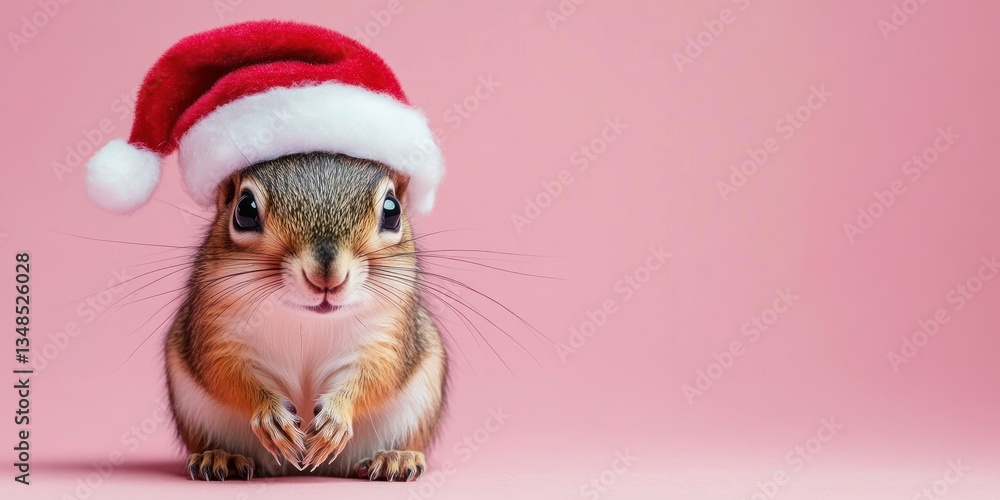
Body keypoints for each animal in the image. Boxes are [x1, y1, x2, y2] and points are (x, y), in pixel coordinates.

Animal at [164, 152, 447, 481]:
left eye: (392, 211)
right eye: (245, 210)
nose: (327, 278)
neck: (308, 319)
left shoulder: (389, 333)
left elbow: (377, 373)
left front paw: (336, 418)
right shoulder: (215, 330)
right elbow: (225, 372)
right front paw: (270, 415)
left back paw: (396, 457)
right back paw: (221, 457)